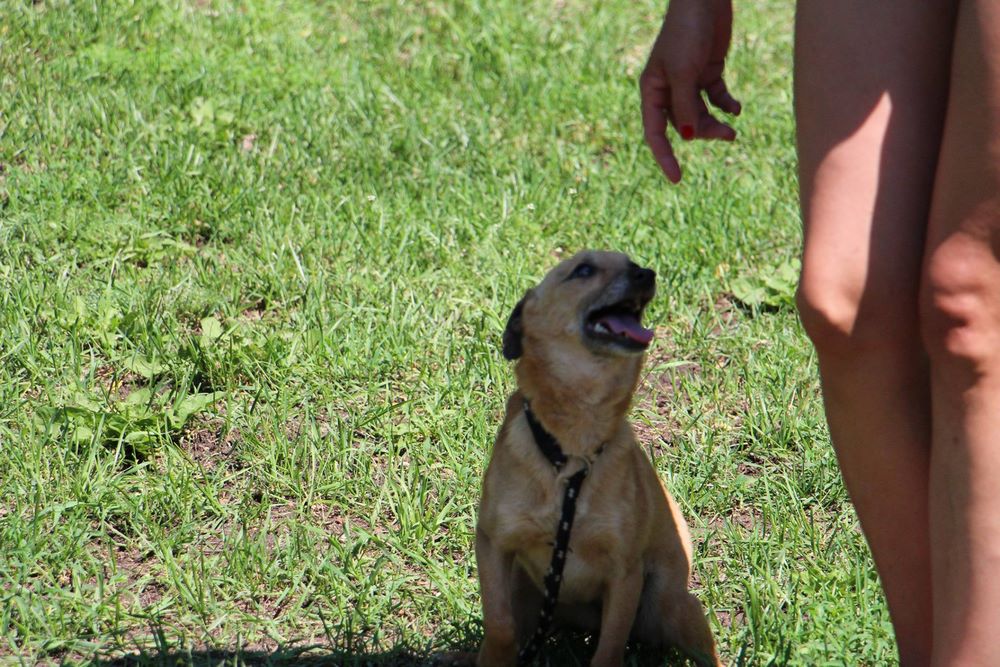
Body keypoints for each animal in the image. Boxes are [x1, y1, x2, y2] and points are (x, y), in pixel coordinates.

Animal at [475, 250, 721, 666]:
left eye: (632, 262)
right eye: (584, 270)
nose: (646, 274)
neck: (571, 452)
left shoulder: (624, 574)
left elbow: (608, 649)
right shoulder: (493, 544)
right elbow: (500, 627)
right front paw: (495, 655)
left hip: (673, 604)